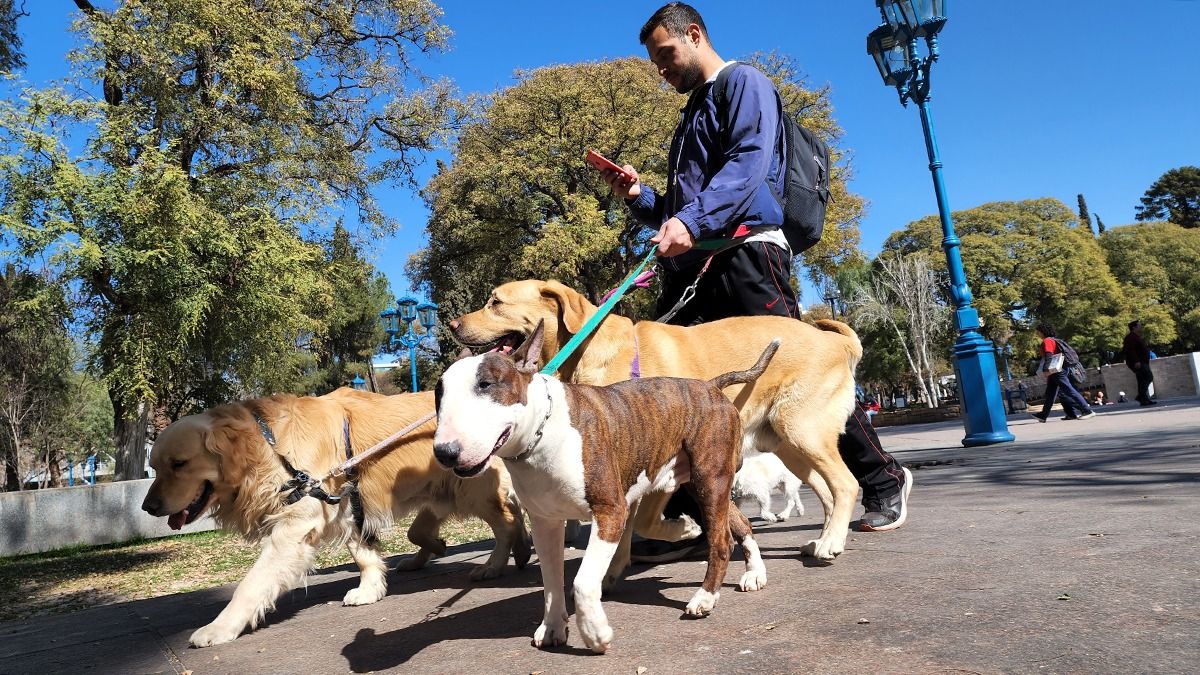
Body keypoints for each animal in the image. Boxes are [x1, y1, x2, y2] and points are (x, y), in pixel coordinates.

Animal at [140, 389, 530, 648]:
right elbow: (363, 552)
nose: (147, 506)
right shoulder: (344, 504)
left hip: (471, 487)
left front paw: (220, 627)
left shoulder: (295, 526)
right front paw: (371, 588)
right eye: (155, 466)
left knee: (507, 521)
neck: (269, 447)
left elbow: (252, 584)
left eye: (179, 464)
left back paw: (495, 564)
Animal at [451, 278, 864, 578]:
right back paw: (825, 538)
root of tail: (835, 339)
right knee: (827, 491)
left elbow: (645, 521)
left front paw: (679, 533)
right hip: (789, 446)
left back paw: (831, 541)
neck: (589, 348)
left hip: (803, 432)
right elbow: (629, 527)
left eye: (495, 302)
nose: (452, 323)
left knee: (846, 484)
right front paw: (618, 566)